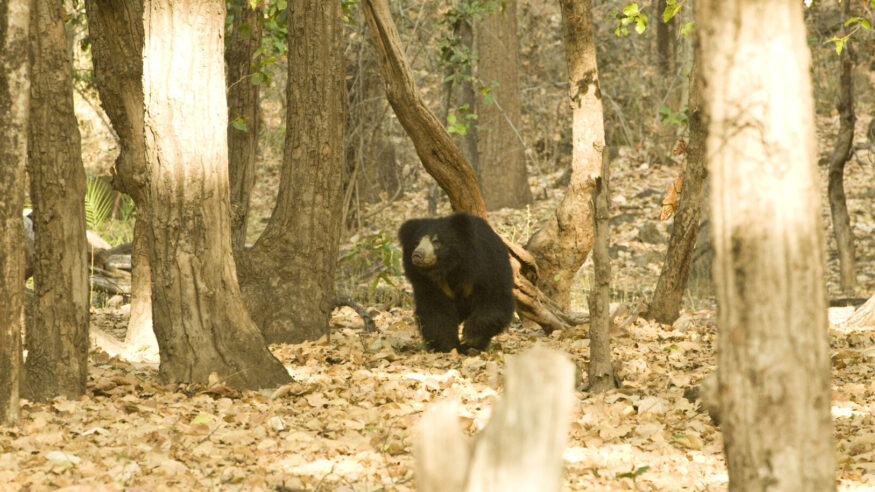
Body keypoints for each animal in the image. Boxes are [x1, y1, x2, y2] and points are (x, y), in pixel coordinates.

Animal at [398, 212, 515, 352]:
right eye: (416, 243)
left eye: (436, 241)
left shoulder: (486, 267)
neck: (450, 267)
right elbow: (435, 311)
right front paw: (447, 346)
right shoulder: (429, 284)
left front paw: (470, 337)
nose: (417, 255)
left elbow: (493, 301)